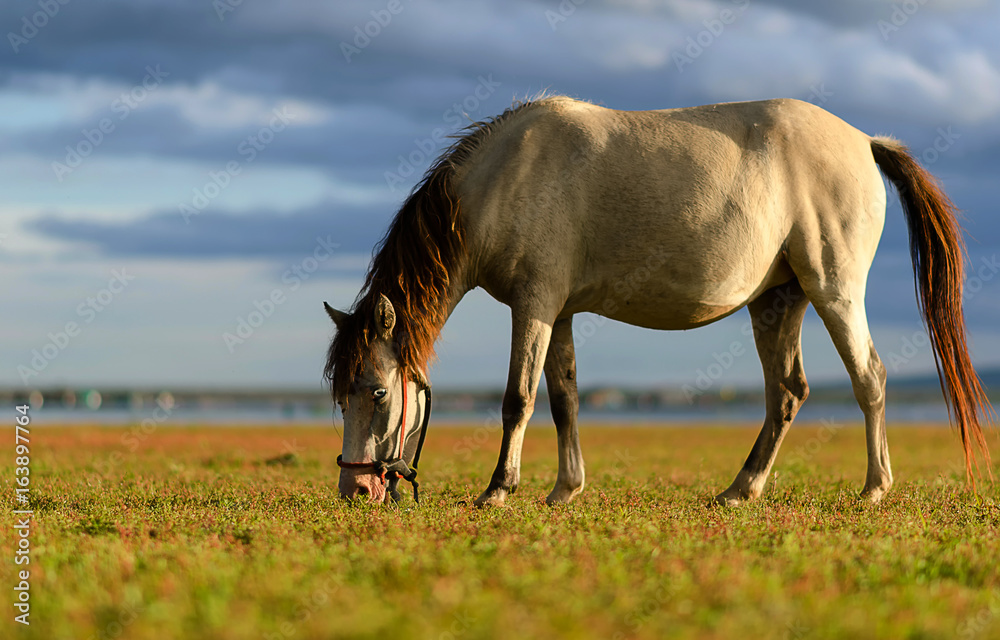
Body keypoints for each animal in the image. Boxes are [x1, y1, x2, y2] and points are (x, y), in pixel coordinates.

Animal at [322, 94, 992, 504]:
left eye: (376, 391)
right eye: (341, 391)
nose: (356, 490)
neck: (506, 177)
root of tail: (865, 140)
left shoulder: (534, 306)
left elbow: (518, 399)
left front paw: (498, 490)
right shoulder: (560, 311)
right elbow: (564, 398)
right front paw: (564, 489)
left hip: (834, 292)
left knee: (869, 379)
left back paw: (875, 487)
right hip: (779, 302)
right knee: (787, 393)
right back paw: (741, 489)